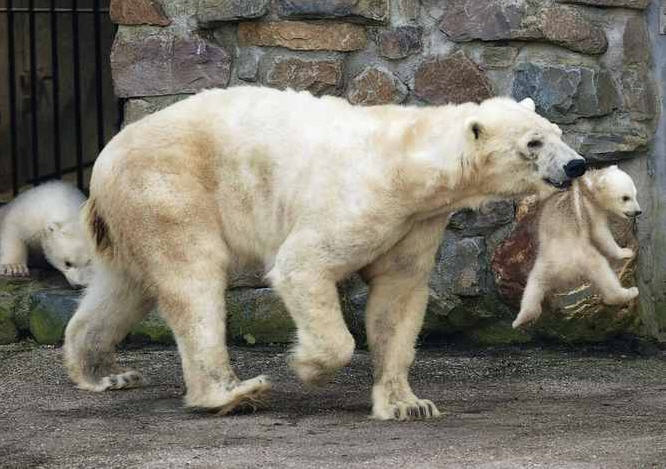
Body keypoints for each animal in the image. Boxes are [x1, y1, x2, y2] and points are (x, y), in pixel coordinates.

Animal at [63, 86, 586, 420]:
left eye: (557, 131)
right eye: (533, 142)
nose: (577, 165)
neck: (411, 164)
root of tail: (103, 161)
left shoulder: (415, 223)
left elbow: (398, 299)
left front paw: (407, 404)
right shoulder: (365, 202)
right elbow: (302, 266)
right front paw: (308, 366)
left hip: (134, 213)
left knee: (124, 287)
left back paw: (103, 372)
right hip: (168, 189)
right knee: (193, 279)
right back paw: (232, 394)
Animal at [512, 165, 641, 330]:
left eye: (635, 194)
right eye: (625, 197)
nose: (638, 211)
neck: (589, 185)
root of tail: (563, 269)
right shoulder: (591, 210)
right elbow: (601, 233)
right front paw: (625, 251)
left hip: (541, 266)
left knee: (532, 288)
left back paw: (521, 318)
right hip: (585, 257)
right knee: (603, 272)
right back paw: (628, 292)